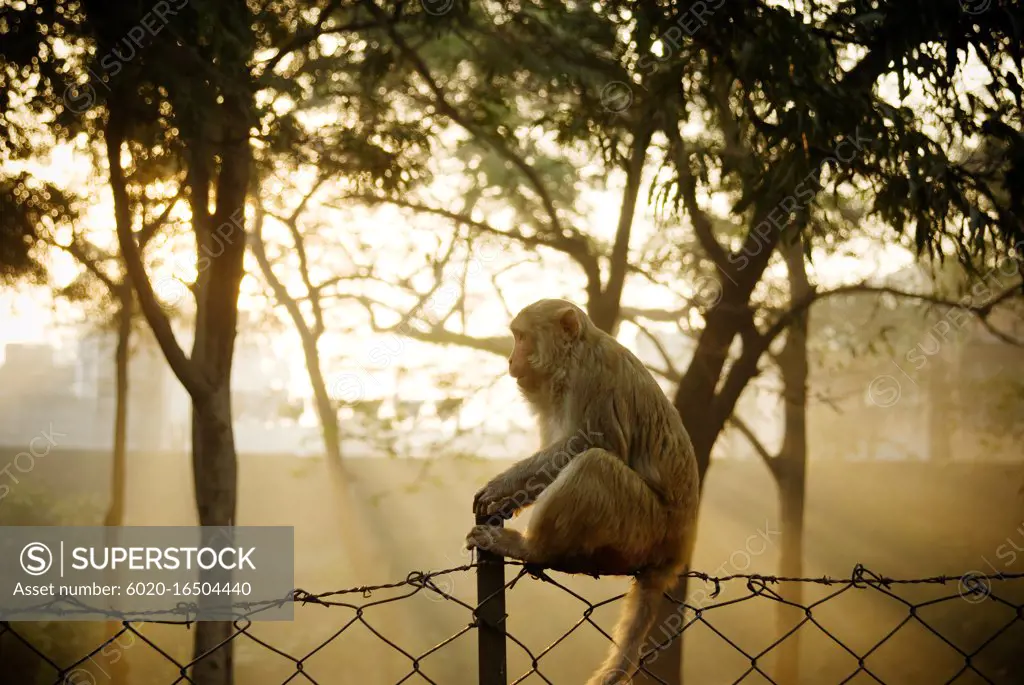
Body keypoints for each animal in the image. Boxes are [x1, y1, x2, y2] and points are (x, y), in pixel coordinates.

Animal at [466, 296, 700, 683]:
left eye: (521, 337)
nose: (511, 359)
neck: (571, 358)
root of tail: (675, 552)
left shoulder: (593, 376)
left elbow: (587, 445)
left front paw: (502, 485)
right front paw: (509, 498)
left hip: (643, 528)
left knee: (594, 464)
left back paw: (532, 548)